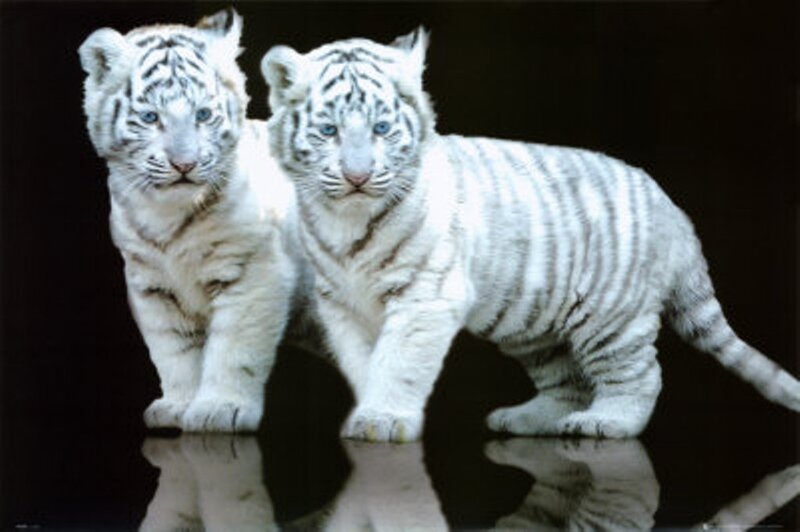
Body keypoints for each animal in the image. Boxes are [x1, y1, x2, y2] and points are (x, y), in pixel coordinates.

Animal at [79, 8, 312, 432]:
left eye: (203, 114)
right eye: (150, 117)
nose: (184, 165)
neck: (167, 214)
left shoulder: (254, 271)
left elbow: (233, 346)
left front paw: (221, 409)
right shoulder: (151, 284)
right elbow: (173, 350)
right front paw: (178, 405)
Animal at [259, 28, 800, 442]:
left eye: (382, 129)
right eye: (329, 131)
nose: (357, 176)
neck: (346, 219)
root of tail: (673, 209)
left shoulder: (425, 297)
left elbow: (399, 362)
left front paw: (384, 419)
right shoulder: (342, 304)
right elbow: (363, 362)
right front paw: (368, 412)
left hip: (613, 317)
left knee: (640, 375)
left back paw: (607, 423)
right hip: (534, 324)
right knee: (566, 382)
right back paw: (523, 419)